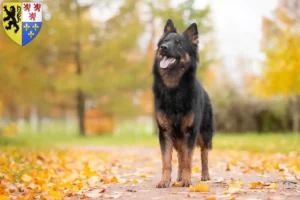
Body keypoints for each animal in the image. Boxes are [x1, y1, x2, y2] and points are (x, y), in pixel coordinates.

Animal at [152, 18, 213, 188]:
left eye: (179, 44)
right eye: (165, 41)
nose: (163, 48)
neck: (174, 88)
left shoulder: (190, 132)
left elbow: (188, 159)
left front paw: (187, 180)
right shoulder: (165, 132)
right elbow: (167, 161)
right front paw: (165, 180)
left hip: (203, 134)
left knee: (204, 154)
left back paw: (204, 175)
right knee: (180, 154)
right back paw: (178, 177)